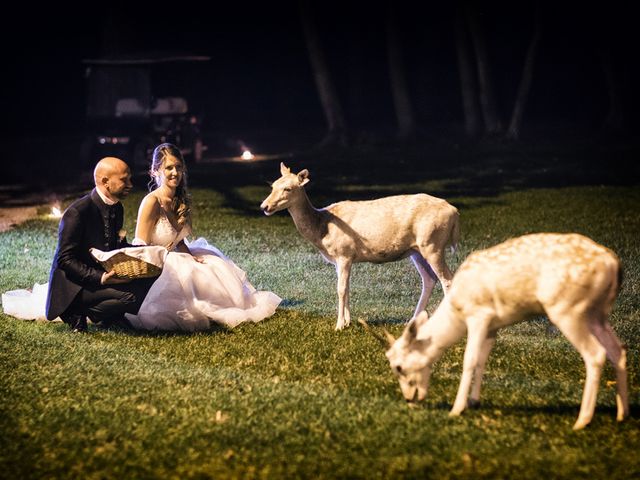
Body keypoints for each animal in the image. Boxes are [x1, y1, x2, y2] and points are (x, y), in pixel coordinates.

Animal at [260, 163, 460, 332]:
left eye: (288, 188)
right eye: (273, 185)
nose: (264, 206)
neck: (322, 230)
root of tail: (454, 212)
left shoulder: (344, 252)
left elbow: (340, 288)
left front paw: (339, 326)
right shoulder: (340, 259)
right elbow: (347, 286)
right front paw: (348, 322)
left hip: (433, 244)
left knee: (448, 280)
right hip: (417, 250)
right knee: (429, 279)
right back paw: (412, 321)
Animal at [378, 233, 628, 432]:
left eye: (398, 367)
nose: (409, 399)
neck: (457, 314)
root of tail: (614, 264)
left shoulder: (479, 315)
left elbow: (469, 359)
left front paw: (457, 408)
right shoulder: (493, 326)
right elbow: (482, 359)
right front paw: (474, 401)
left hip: (568, 310)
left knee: (595, 354)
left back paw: (582, 421)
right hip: (597, 314)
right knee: (618, 350)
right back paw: (622, 414)